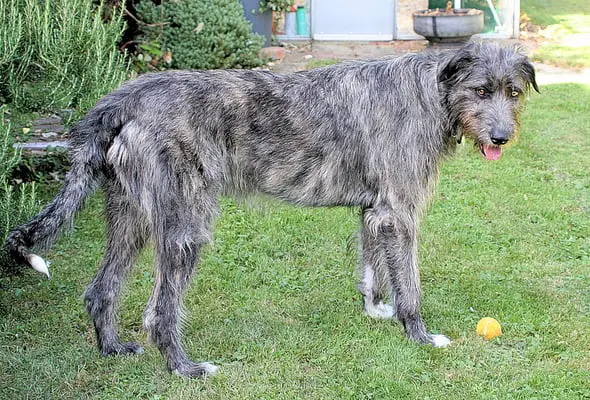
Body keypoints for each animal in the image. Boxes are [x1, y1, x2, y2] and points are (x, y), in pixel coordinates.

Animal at [5, 41, 540, 378]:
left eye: (512, 92)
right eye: (480, 90)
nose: (500, 138)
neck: (430, 90)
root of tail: (127, 95)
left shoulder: (374, 211)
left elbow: (372, 269)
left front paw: (375, 312)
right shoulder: (399, 212)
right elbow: (408, 282)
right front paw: (420, 336)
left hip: (131, 213)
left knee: (101, 289)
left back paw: (113, 349)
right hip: (184, 226)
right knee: (159, 311)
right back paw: (186, 368)